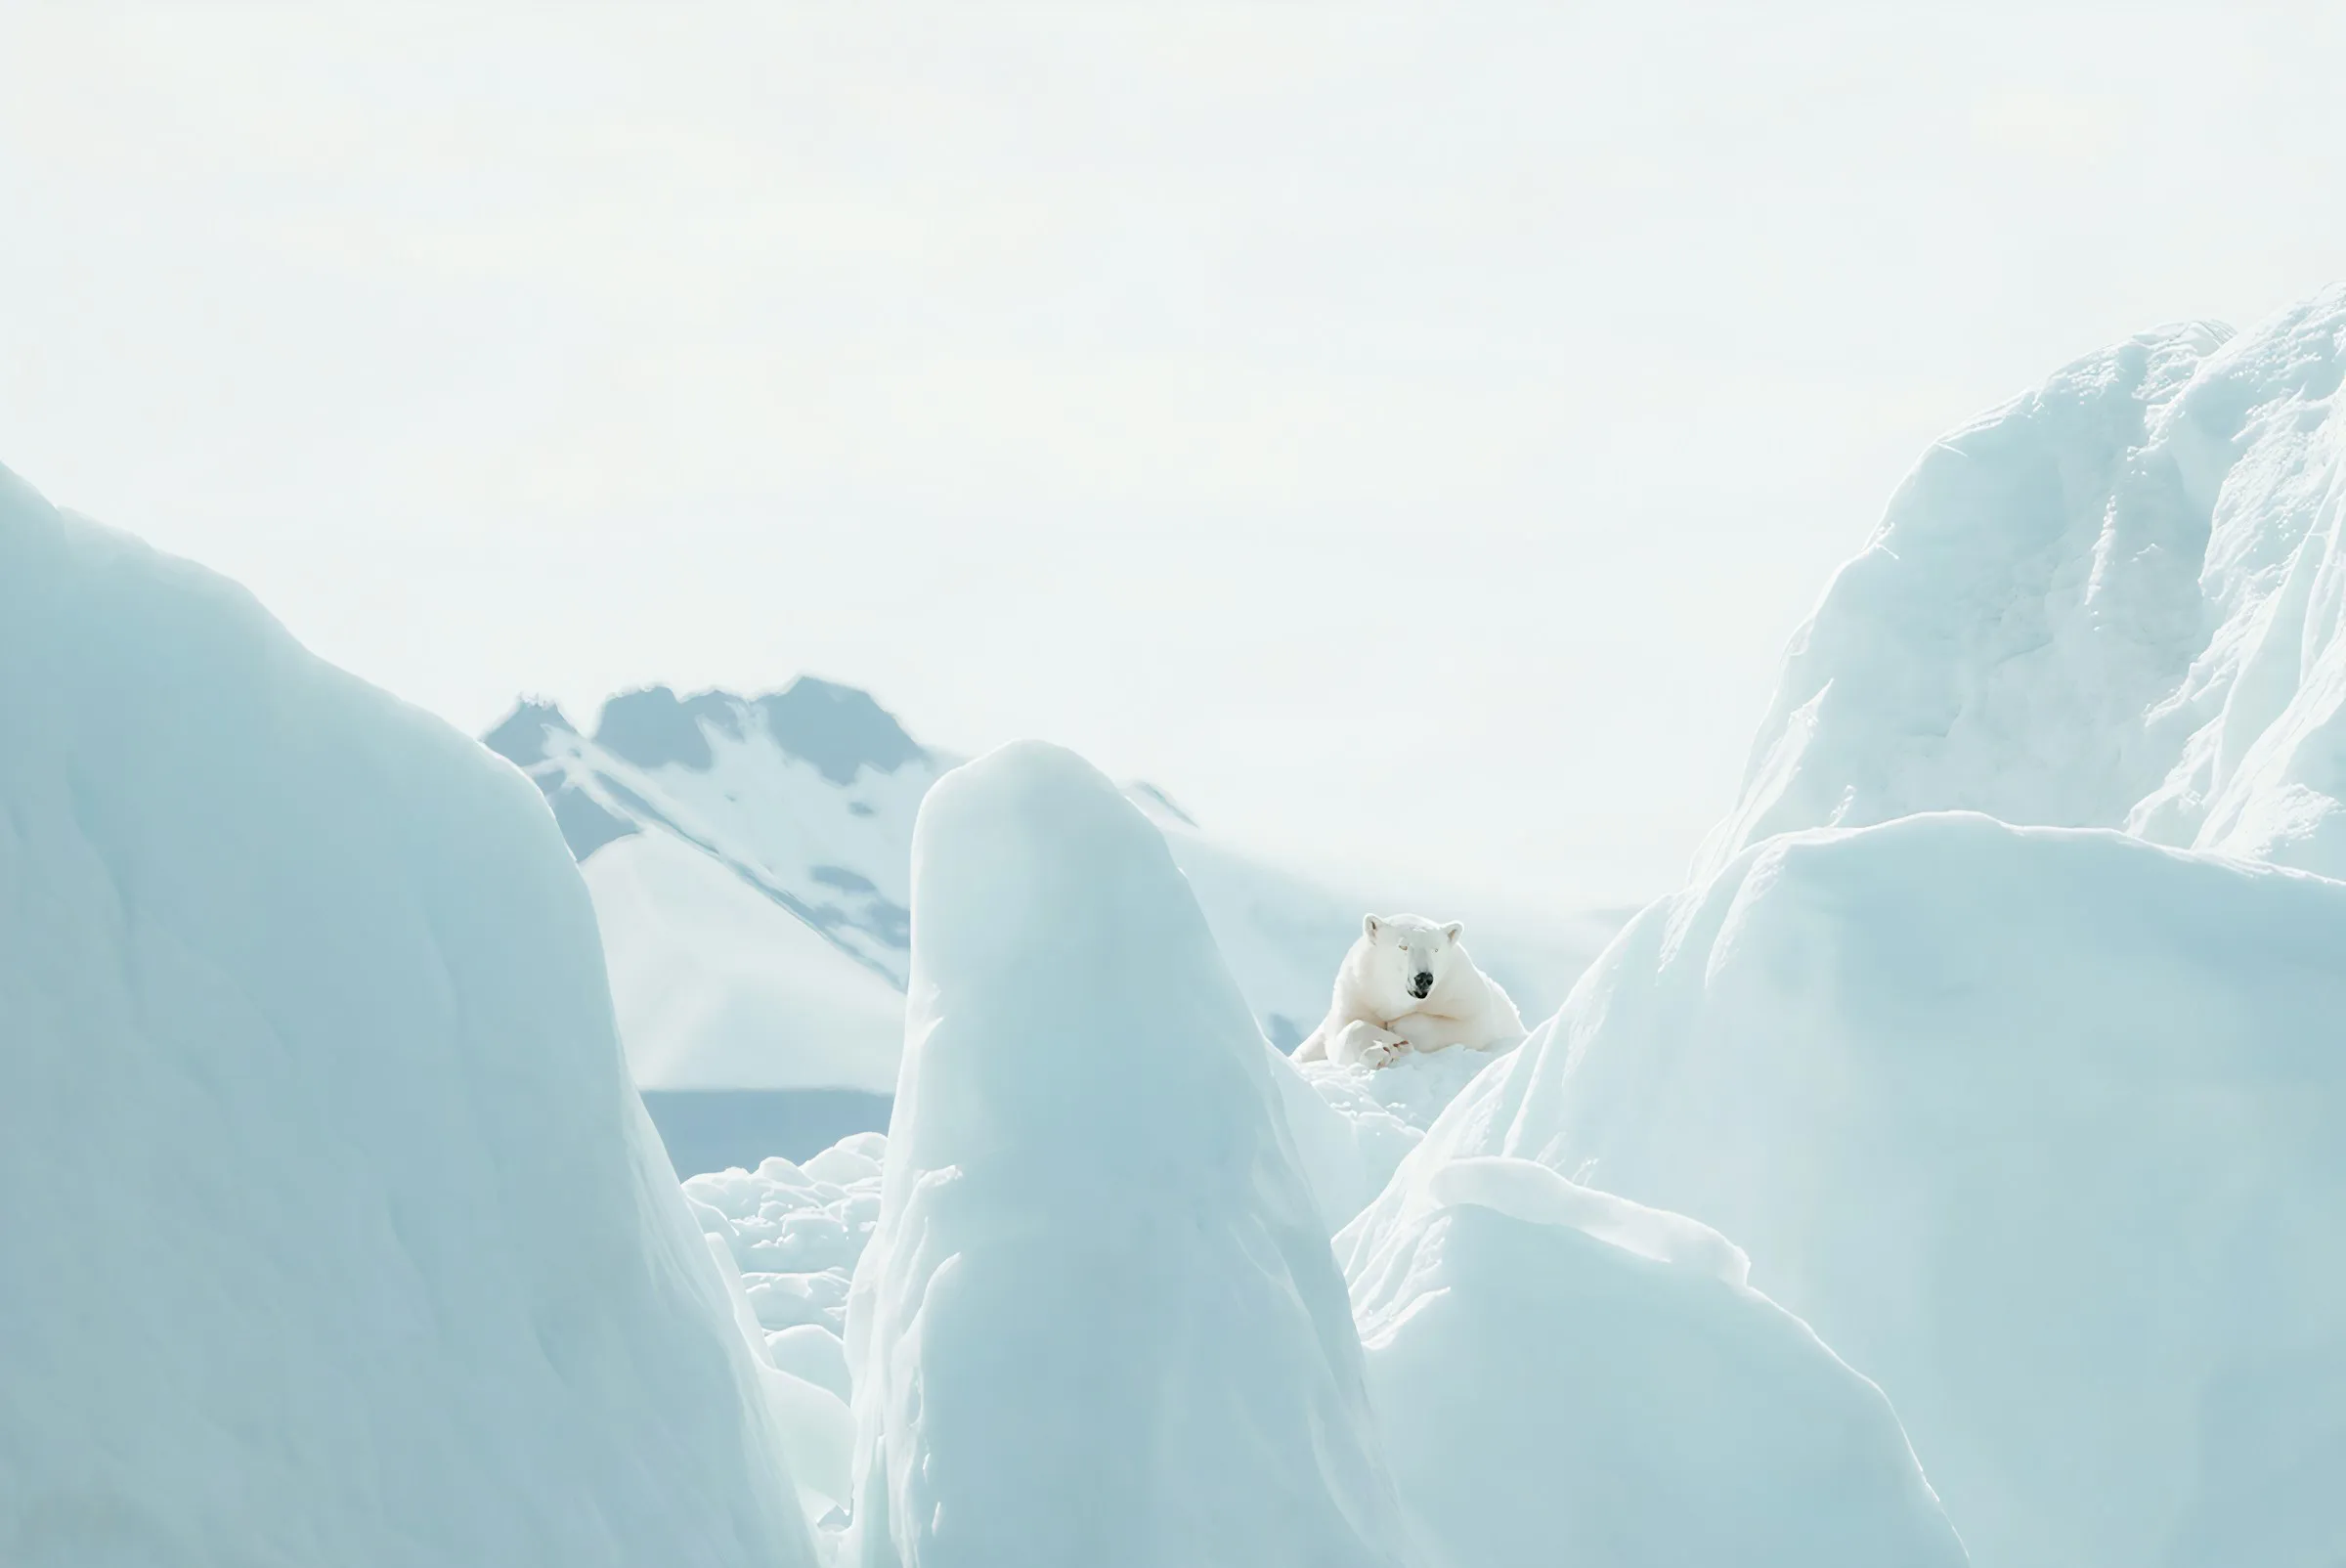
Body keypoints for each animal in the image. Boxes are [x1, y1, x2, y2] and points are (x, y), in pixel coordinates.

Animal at [1291, 912, 1526, 1069]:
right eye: (1403, 946)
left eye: (1435, 949)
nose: (1423, 978)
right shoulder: (1359, 989)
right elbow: (1343, 1031)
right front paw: (1380, 1050)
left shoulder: (1460, 990)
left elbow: (1472, 1027)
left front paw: (1397, 1034)